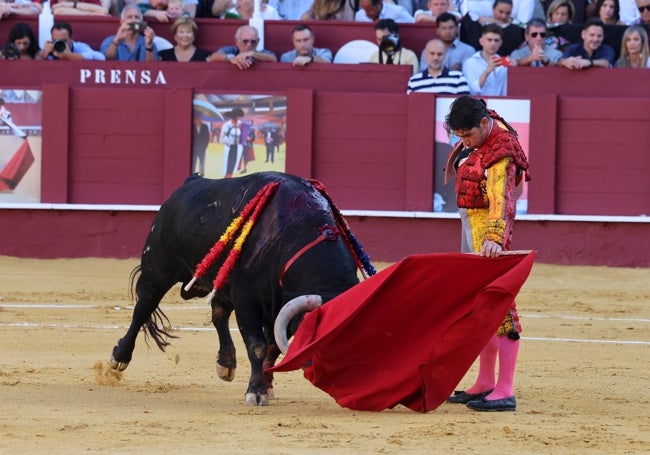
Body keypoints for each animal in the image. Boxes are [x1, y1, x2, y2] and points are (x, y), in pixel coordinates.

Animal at [110, 172, 364, 406]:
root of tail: (190, 182)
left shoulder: (278, 309)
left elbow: (272, 347)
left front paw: (266, 386)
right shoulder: (247, 301)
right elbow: (258, 346)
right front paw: (256, 392)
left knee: (219, 314)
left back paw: (226, 363)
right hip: (157, 269)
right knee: (143, 308)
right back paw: (119, 357)